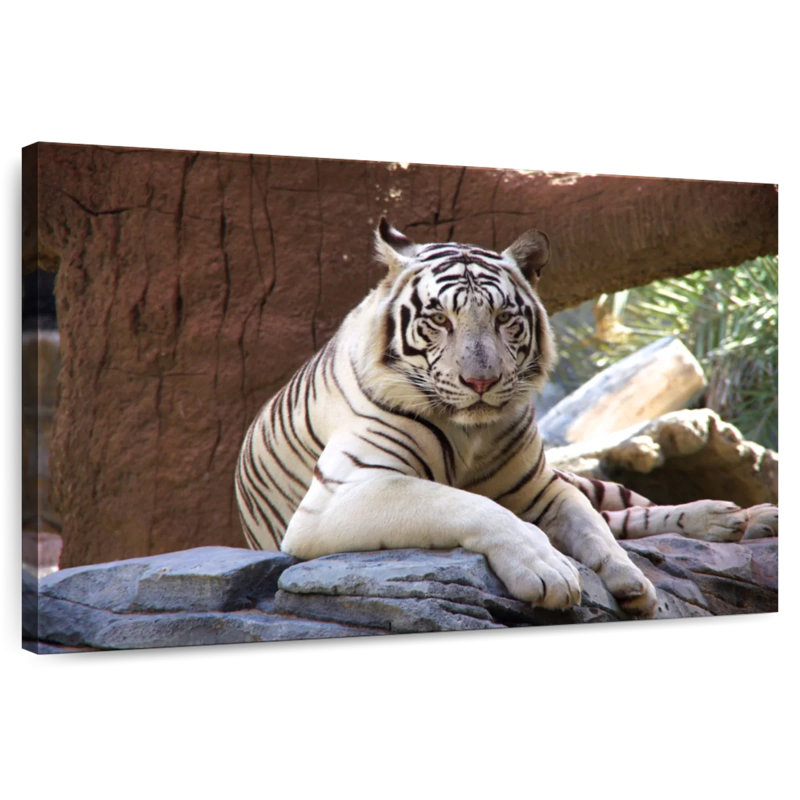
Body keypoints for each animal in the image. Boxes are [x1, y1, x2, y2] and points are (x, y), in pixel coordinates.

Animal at [235, 220, 778, 618]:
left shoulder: (545, 486)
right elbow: (472, 506)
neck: (469, 431)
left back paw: (739, 517)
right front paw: (550, 572)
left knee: (629, 510)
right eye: (439, 320)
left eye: (503, 319)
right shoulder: (344, 493)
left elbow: (592, 528)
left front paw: (631, 579)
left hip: (588, 480)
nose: (481, 381)